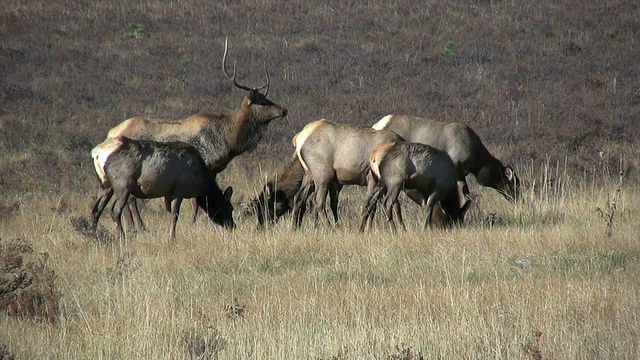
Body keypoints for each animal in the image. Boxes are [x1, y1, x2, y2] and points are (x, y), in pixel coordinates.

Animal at [91, 136, 234, 240]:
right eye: (229, 208)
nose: (233, 225)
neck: (200, 182)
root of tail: (97, 154)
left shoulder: (168, 193)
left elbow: (170, 212)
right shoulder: (180, 188)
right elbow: (175, 215)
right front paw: (172, 238)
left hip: (108, 186)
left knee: (97, 209)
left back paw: (94, 234)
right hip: (123, 185)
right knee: (114, 211)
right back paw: (122, 237)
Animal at [100, 38, 288, 229]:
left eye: (267, 98)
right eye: (262, 101)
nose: (284, 110)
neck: (229, 140)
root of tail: (110, 134)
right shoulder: (205, 164)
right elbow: (194, 200)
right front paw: (195, 223)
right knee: (130, 198)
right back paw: (138, 226)